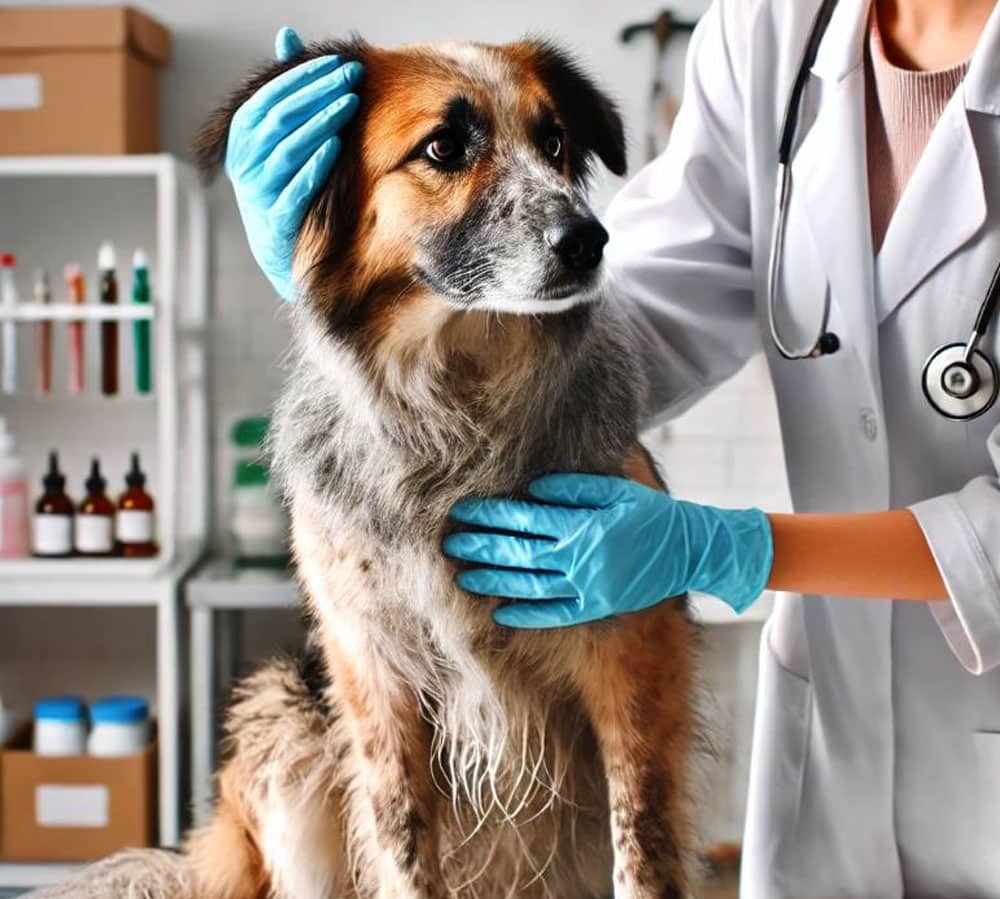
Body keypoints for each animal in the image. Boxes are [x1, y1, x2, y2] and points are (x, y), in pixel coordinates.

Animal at [37, 35, 696, 899]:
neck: (456, 407)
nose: (590, 240)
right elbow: (402, 841)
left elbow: (639, 841)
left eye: (554, 140)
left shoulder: (630, 649)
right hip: (283, 722)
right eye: (444, 148)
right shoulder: (372, 667)